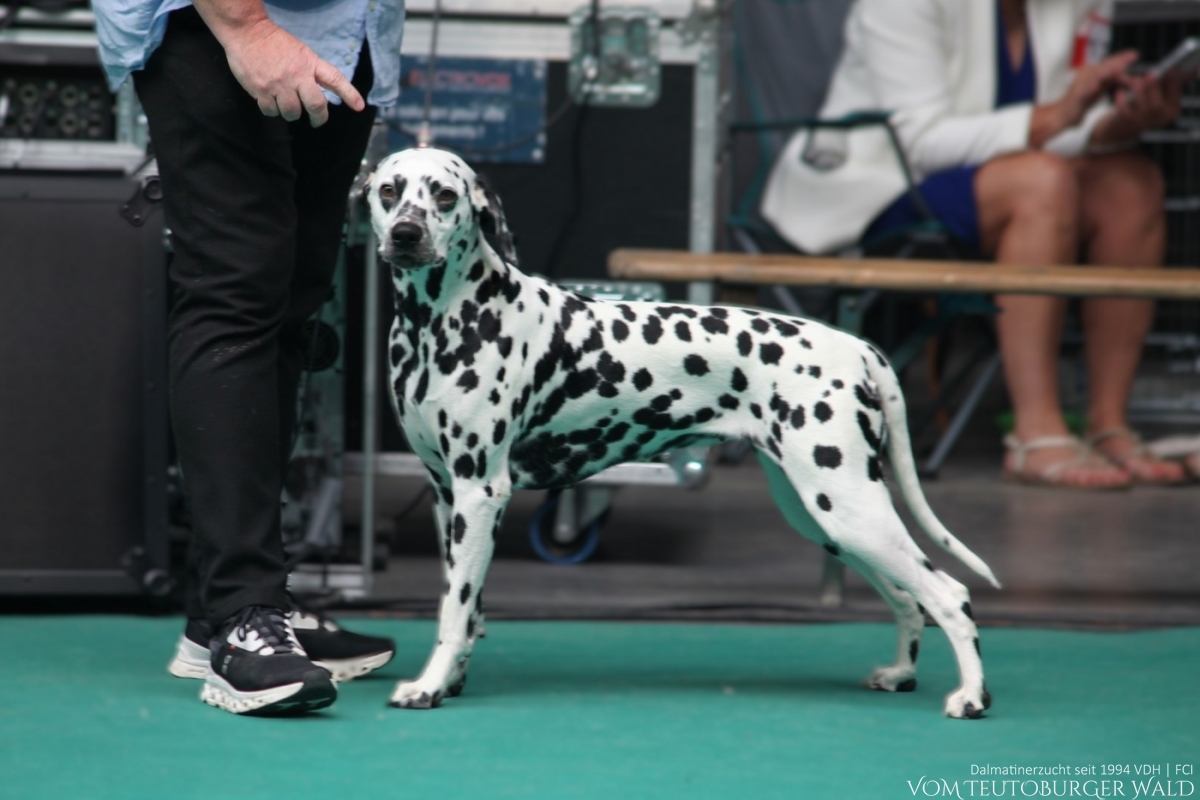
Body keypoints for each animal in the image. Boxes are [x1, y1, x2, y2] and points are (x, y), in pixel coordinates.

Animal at [364, 148, 1003, 719]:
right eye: (389, 191)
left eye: (445, 195)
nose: (405, 235)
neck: (449, 317)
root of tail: (857, 347)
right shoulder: (448, 497)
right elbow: (465, 604)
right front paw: (451, 681)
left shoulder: (481, 493)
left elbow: (455, 612)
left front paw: (428, 686)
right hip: (828, 520)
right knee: (908, 597)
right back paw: (900, 674)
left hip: (850, 509)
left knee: (950, 595)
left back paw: (972, 697)